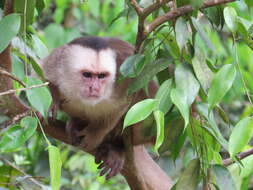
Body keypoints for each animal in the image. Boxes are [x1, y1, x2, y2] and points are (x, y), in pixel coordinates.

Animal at [41, 36, 156, 179]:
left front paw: (94, 134)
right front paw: (54, 100)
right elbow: (42, 73)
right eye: (87, 75)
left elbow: (123, 104)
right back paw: (77, 123)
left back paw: (117, 146)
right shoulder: (56, 64)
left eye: (101, 76)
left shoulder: (121, 78)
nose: (95, 88)